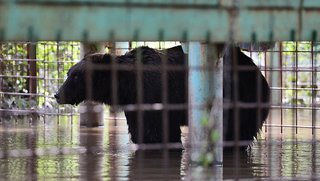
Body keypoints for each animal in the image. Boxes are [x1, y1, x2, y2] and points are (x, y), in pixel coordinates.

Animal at [55, 44, 270, 148]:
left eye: (75, 76)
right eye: (69, 73)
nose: (57, 94)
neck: (129, 86)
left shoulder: (156, 94)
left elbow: (160, 132)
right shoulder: (135, 104)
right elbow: (142, 132)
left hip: (243, 95)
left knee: (236, 129)